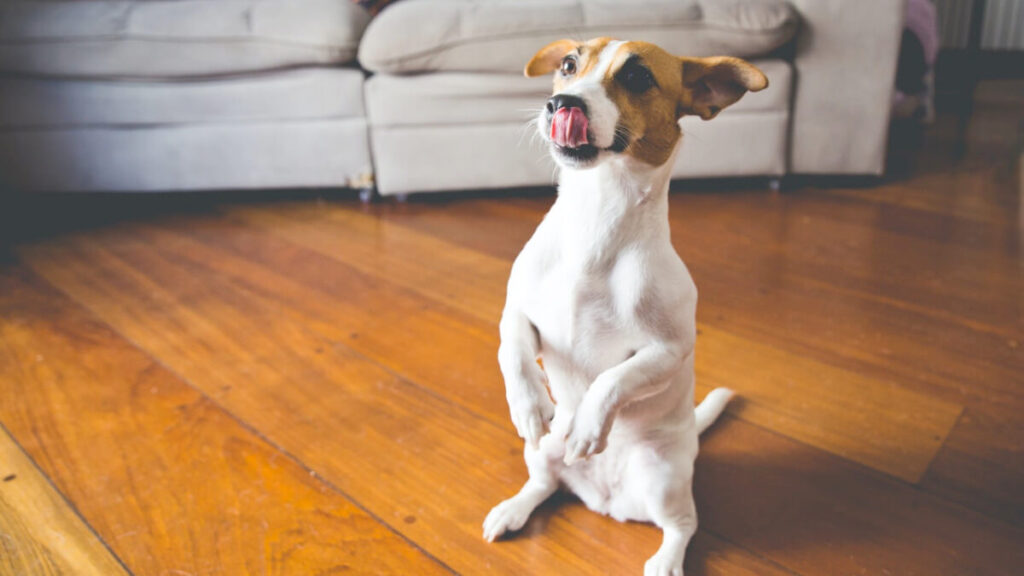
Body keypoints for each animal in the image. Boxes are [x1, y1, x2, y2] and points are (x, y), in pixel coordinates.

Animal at [483, 38, 765, 569]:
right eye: (568, 65)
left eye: (637, 77)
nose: (561, 103)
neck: (595, 219)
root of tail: (604, 500)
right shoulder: (519, 311)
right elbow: (512, 349)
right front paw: (528, 403)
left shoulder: (666, 351)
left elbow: (613, 380)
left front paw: (590, 426)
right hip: (543, 451)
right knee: (543, 484)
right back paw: (513, 508)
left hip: (664, 478)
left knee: (682, 525)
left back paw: (666, 561)